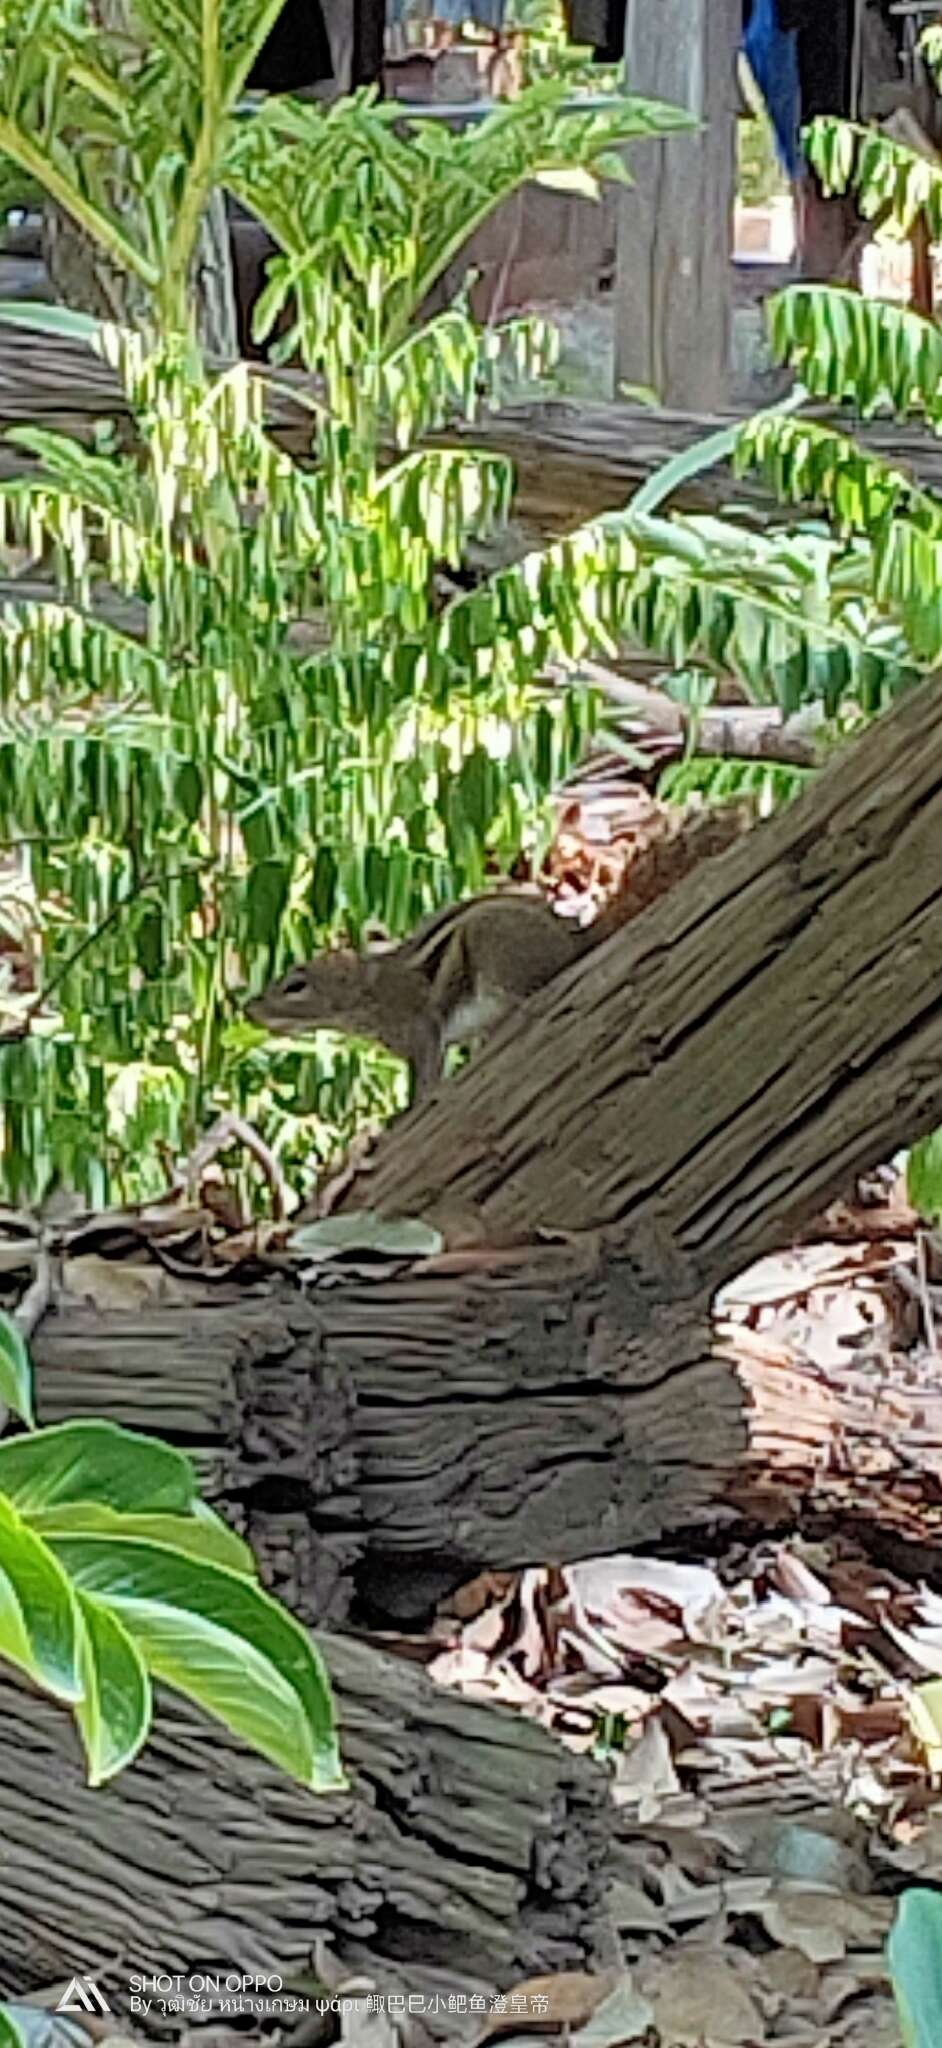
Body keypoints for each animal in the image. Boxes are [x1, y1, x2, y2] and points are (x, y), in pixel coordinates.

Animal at [244, 798, 749, 1105]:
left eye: (296, 984)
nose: (250, 1008)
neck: (371, 990)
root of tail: (580, 937)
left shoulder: (419, 1028)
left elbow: (425, 1078)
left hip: (497, 951)